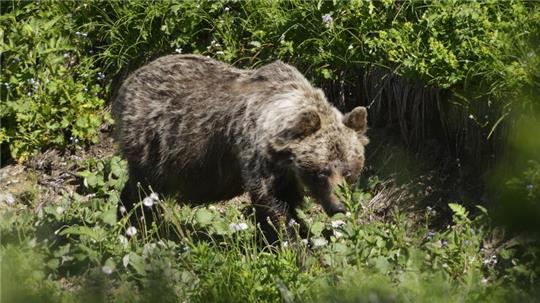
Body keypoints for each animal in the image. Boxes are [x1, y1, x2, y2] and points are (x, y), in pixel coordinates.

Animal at [113, 54, 368, 243]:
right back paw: (135, 226)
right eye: (323, 171)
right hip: (155, 144)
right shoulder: (256, 155)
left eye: (348, 171)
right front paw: (292, 242)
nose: (339, 206)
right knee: (143, 191)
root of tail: (129, 80)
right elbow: (273, 204)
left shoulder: (285, 171)